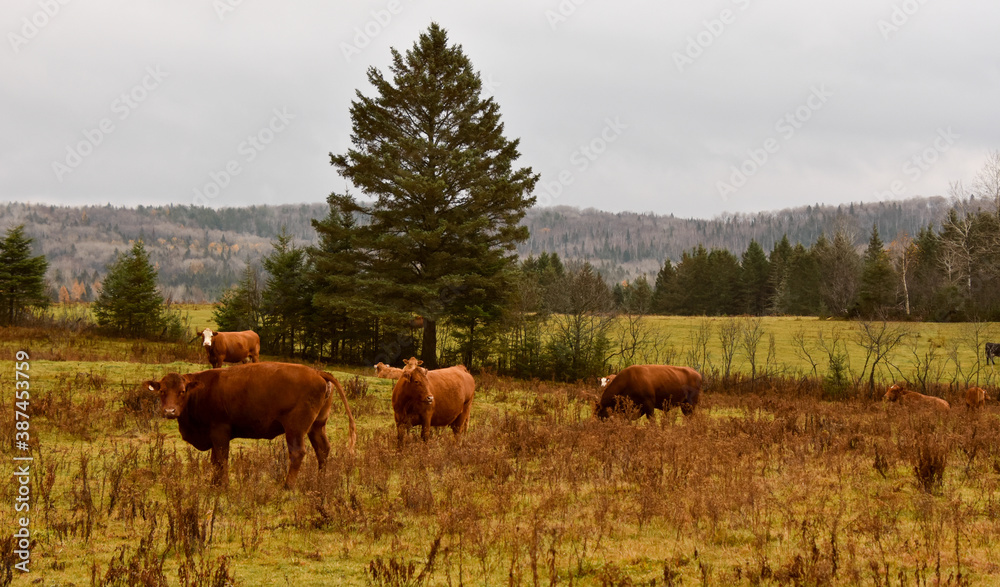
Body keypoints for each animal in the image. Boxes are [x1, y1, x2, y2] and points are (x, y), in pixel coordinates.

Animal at [143, 362, 356, 489]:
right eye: (162, 391)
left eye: (182, 391)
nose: (170, 411)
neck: (201, 390)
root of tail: (317, 372)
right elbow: (215, 460)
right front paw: (214, 484)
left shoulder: (220, 432)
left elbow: (221, 459)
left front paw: (222, 485)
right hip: (317, 426)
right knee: (323, 450)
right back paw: (320, 482)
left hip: (295, 429)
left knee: (298, 453)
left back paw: (287, 486)